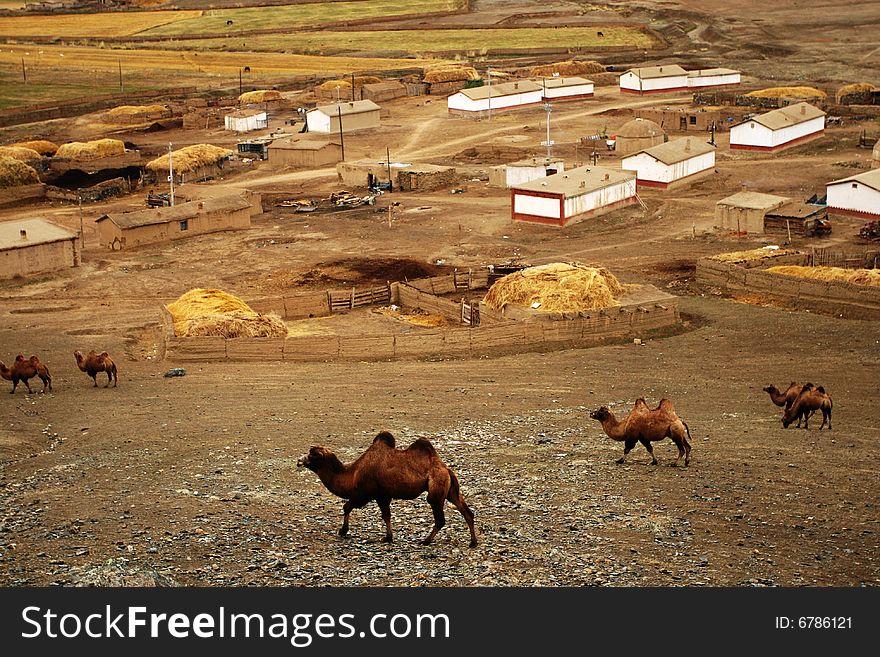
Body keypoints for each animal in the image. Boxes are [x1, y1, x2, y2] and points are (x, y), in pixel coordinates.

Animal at [298, 430, 478, 548]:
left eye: (312, 455)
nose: (299, 460)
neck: (353, 473)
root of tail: (445, 468)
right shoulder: (383, 495)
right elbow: (386, 515)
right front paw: (388, 537)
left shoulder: (365, 493)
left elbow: (347, 506)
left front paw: (343, 531)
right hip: (451, 489)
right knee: (466, 511)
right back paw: (473, 542)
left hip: (436, 487)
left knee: (440, 518)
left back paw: (426, 541)